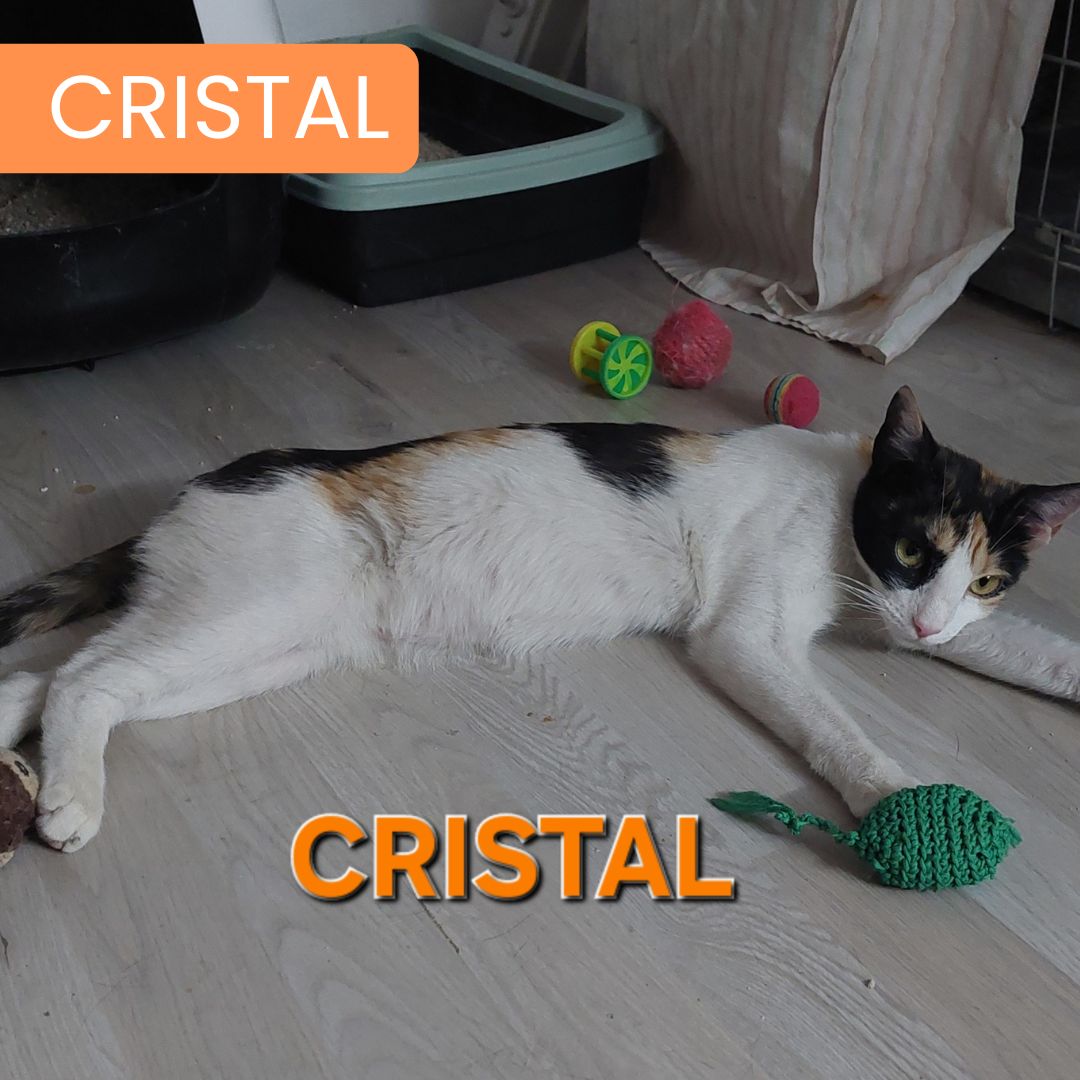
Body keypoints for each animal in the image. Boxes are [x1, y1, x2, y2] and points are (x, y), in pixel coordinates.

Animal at [0, 386, 1077, 853]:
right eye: (915, 551)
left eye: (986, 581)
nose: (926, 630)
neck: (842, 504)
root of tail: (179, 500)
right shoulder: (743, 636)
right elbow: (833, 726)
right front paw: (899, 798)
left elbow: (1033, 651)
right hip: (253, 612)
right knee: (84, 678)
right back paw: (69, 803)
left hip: (261, 643)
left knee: (51, 676)